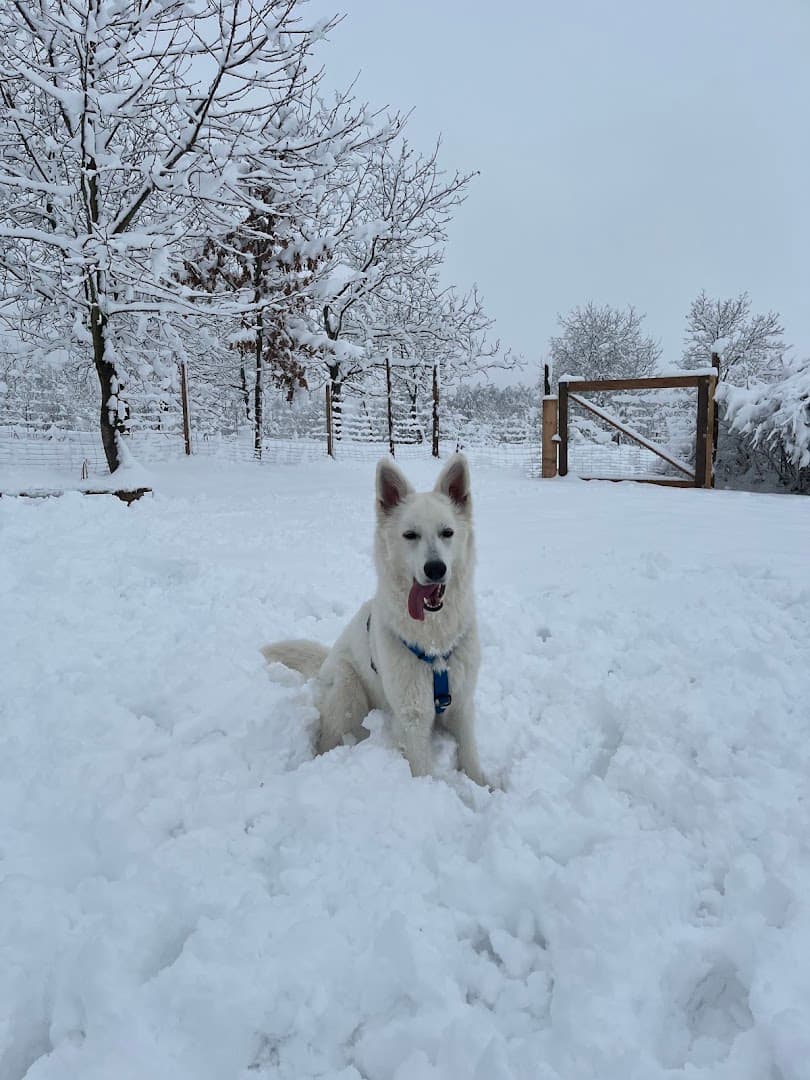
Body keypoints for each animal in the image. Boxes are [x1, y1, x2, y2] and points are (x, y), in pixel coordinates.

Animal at [262, 453, 486, 785]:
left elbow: (471, 759)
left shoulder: (461, 705)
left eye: (447, 533)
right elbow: (423, 771)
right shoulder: (413, 715)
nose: (435, 569)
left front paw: (484, 788)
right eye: (410, 535)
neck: (435, 642)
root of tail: (325, 661)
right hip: (348, 695)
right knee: (327, 739)